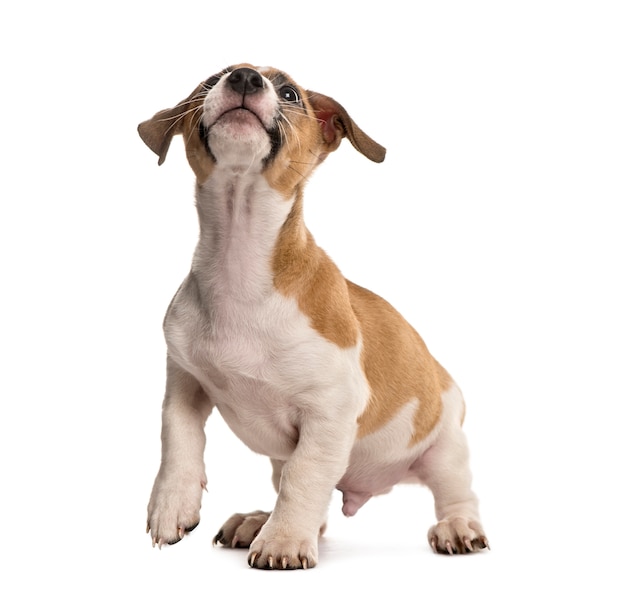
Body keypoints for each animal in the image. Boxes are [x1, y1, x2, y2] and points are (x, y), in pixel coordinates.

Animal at [138, 63, 488, 568]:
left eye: (289, 93)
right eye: (211, 80)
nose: (244, 77)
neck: (239, 262)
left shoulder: (329, 411)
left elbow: (303, 477)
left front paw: (283, 541)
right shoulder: (184, 385)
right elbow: (179, 443)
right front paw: (171, 507)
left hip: (444, 447)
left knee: (456, 492)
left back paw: (458, 527)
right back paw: (259, 520)